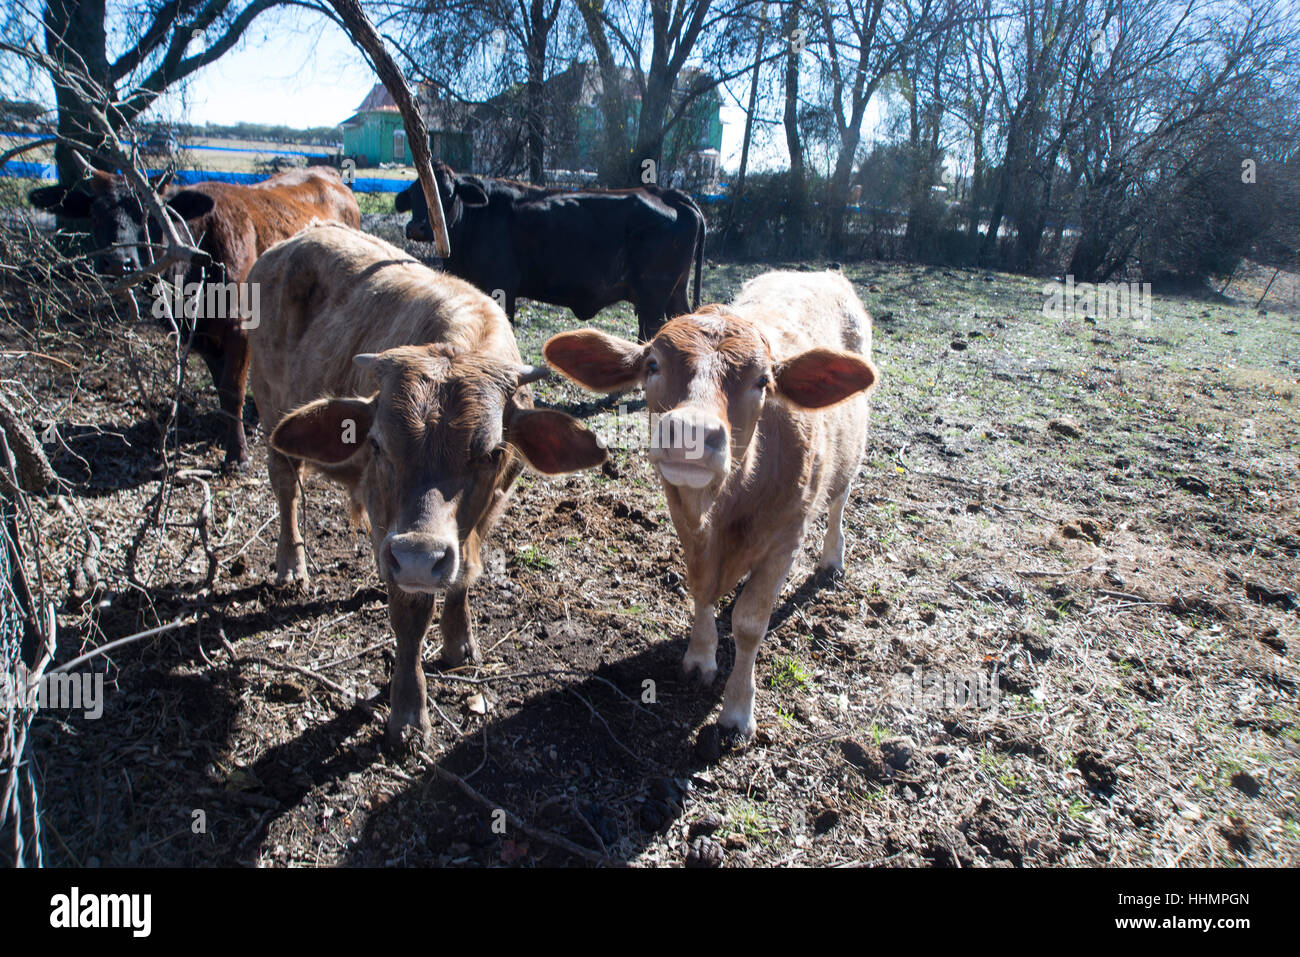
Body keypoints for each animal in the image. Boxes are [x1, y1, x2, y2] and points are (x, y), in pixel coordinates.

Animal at [30, 171, 361, 470]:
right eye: (95, 213)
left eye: (150, 214)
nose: (118, 262)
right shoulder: (201, 337)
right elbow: (221, 390)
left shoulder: (239, 330)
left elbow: (232, 390)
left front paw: (237, 455)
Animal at [246, 223, 603, 748]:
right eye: (376, 445)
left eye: (492, 453)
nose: (417, 557)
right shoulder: (388, 523)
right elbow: (411, 615)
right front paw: (409, 711)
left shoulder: (487, 509)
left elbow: (463, 574)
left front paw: (459, 642)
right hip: (271, 409)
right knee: (286, 487)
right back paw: (291, 564)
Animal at [395, 164, 707, 343]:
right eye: (413, 195)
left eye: (447, 194)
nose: (417, 227)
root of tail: (666, 193)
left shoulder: (501, 286)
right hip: (676, 290)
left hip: (653, 295)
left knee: (650, 332)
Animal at [543, 270, 878, 738]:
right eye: (652, 365)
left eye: (763, 380)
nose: (691, 432)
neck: (725, 509)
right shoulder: (684, 520)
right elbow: (700, 589)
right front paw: (700, 657)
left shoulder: (786, 538)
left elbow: (750, 623)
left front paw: (737, 709)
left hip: (850, 458)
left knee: (839, 502)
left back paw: (832, 557)